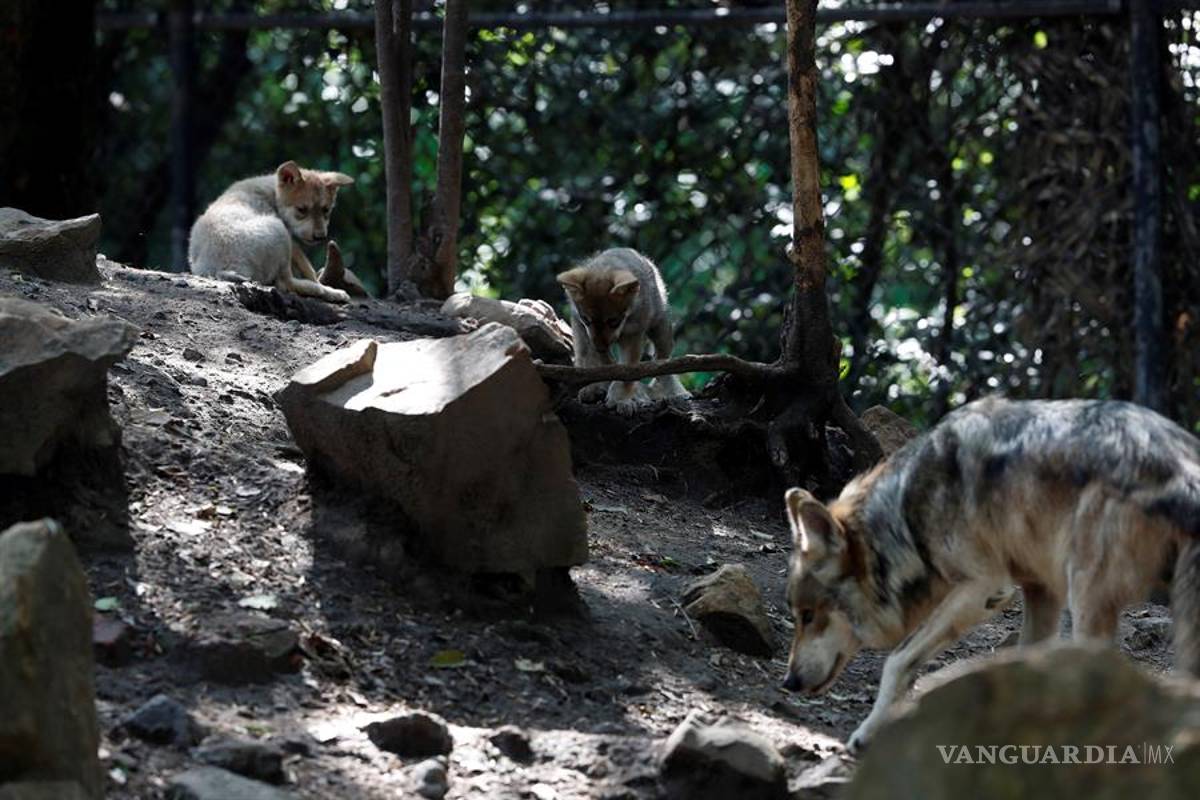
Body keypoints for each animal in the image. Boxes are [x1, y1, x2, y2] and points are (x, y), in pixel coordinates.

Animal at [189, 161, 353, 303]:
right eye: (301, 210)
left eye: (326, 210)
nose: (320, 236)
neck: (273, 195)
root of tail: (215, 268)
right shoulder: (291, 241)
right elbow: (309, 269)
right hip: (279, 231)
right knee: (287, 284)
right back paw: (332, 292)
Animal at [556, 248, 690, 414]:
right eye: (586, 320)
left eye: (613, 321)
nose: (600, 347)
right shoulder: (581, 328)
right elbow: (594, 362)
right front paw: (594, 387)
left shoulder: (633, 337)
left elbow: (627, 373)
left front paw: (620, 399)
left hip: (661, 331)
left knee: (661, 362)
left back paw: (676, 392)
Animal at [781, 397, 1200, 752]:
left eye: (808, 616)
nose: (789, 682)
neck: (905, 518)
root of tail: (1185, 471)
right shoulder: (1041, 590)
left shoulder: (984, 587)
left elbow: (896, 661)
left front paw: (867, 734)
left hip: (1086, 599)